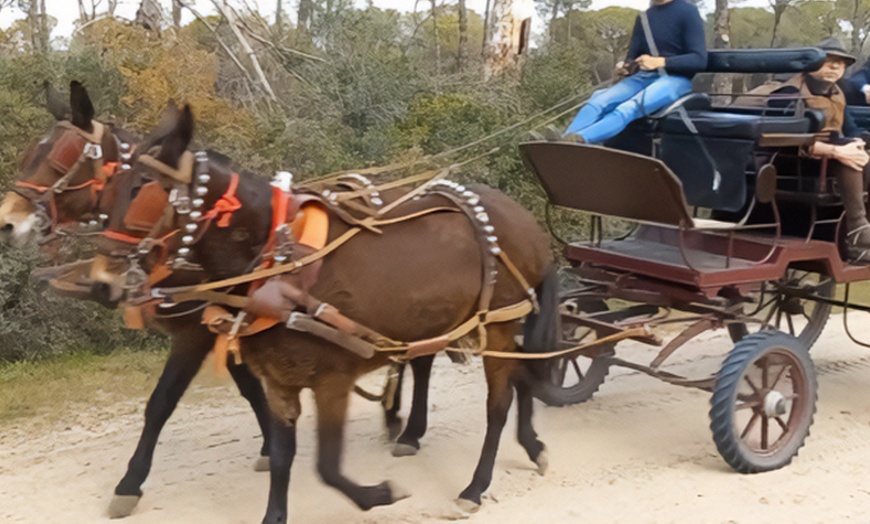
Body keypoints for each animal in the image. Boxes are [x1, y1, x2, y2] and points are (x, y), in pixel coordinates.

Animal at [0, 83, 275, 519]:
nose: (7, 223)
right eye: (30, 155)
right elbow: (249, 386)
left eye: (61, 159)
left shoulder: (195, 331)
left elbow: (161, 402)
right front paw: (270, 447)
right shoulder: (218, 323)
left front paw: (129, 483)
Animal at [89, 103, 558, 523]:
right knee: (519, 375)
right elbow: (283, 458)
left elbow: (327, 468)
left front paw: (380, 494)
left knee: (497, 405)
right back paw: (531, 445)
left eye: (143, 187)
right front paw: (275, 514)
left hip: (499, 325)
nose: (101, 282)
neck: (277, 264)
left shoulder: (333, 379)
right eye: (108, 189)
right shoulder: (279, 382)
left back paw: (476, 486)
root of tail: (527, 223)